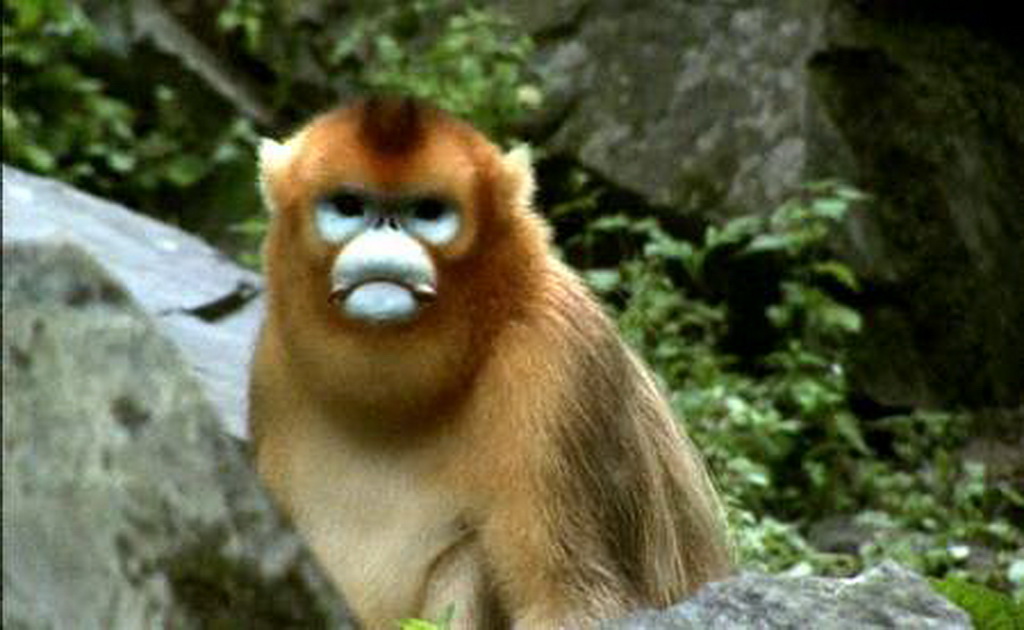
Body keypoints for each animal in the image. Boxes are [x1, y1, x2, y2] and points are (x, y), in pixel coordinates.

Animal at [249, 97, 731, 630]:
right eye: (350, 206)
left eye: (428, 211)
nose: (386, 233)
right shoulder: (272, 363)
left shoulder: (553, 361)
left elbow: (573, 601)